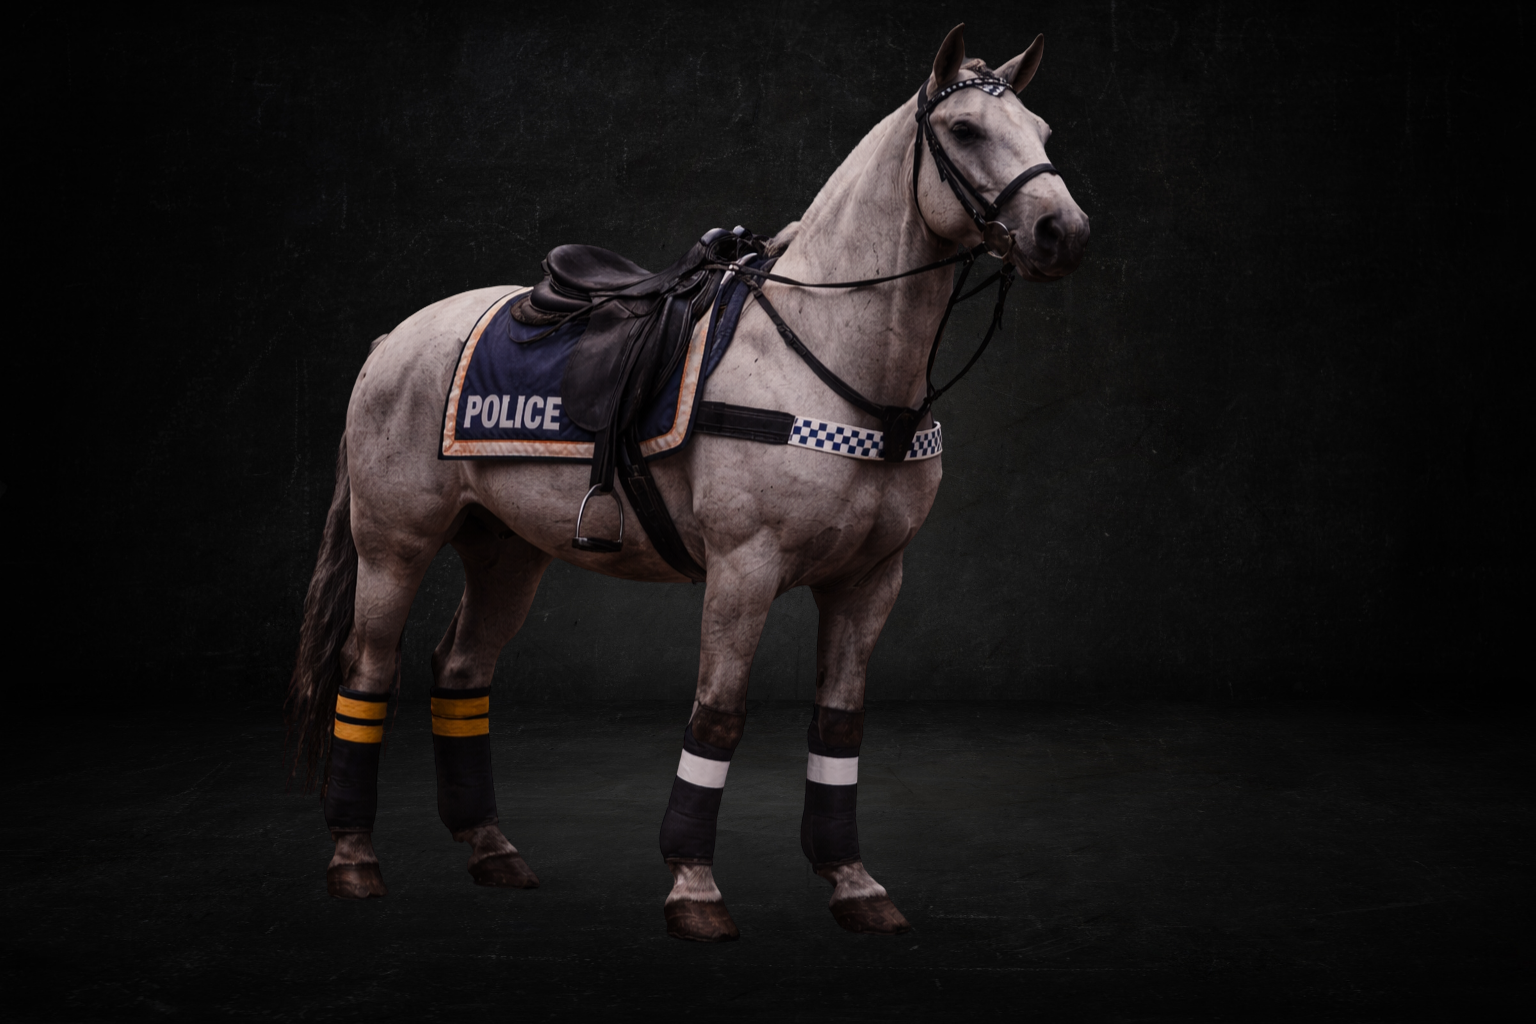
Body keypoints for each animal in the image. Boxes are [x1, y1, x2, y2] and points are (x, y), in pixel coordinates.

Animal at [287, 23, 1089, 942]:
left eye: (1043, 131)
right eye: (963, 130)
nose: (1063, 230)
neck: (827, 352)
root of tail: (394, 339)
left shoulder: (870, 581)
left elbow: (840, 724)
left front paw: (852, 882)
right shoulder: (745, 569)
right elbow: (718, 713)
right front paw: (694, 887)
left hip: (508, 552)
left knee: (459, 668)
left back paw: (491, 848)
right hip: (394, 547)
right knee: (366, 671)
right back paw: (354, 859)